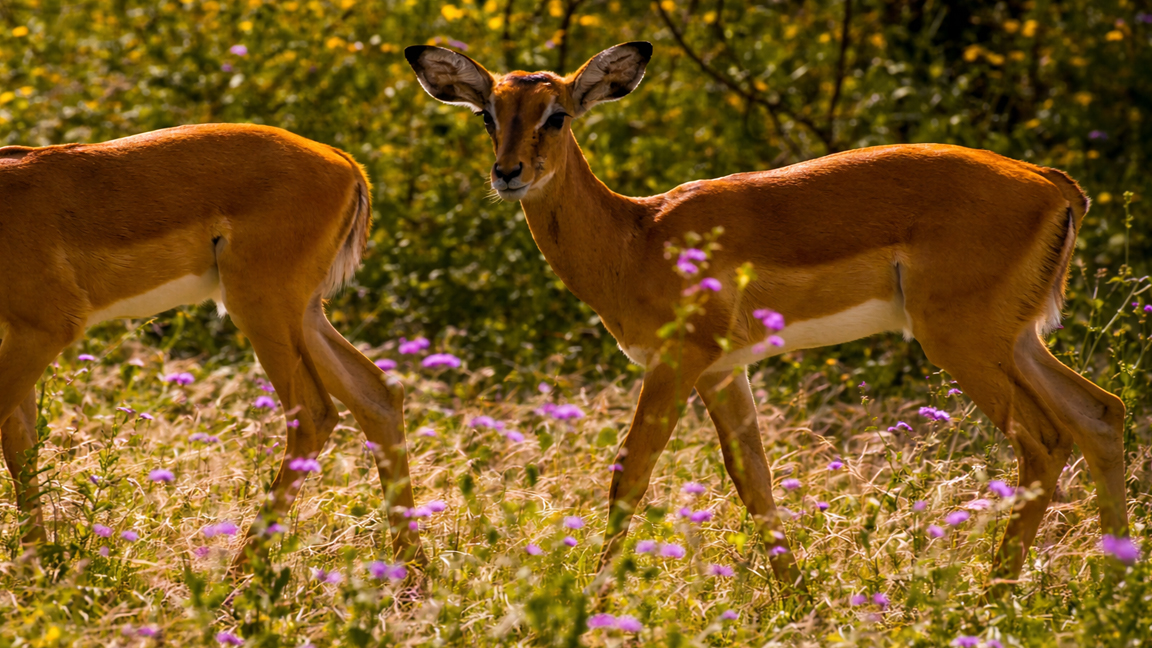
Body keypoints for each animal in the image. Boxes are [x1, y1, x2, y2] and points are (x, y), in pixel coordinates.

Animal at [0, 124, 423, 570]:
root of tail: (343, 162)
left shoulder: (46, 327)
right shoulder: (17, 332)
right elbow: (20, 445)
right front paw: (33, 569)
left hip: (261, 309)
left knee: (314, 416)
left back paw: (236, 574)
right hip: (304, 314)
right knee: (378, 394)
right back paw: (409, 571)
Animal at [405, 42, 1129, 588]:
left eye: (556, 114)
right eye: (488, 113)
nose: (508, 173)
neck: (635, 236)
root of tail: (1055, 185)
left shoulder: (677, 362)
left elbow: (631, 473)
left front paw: (591, 601)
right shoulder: (725, 371)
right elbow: (754, 480)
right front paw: (798, 601)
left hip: (965, 342)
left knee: (1045, 440)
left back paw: (992, 592)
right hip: (1018, 341)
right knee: (1101, 413)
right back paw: (1110, 585)